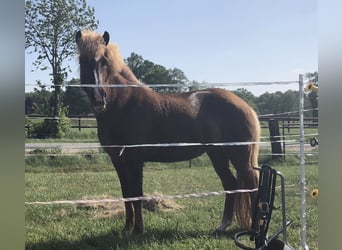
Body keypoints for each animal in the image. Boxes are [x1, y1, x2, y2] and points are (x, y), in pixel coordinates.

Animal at [76, 30, 260, 235]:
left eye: (104, 61)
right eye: (83, 61)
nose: (99, 98)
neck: (124, 105)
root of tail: (246, 106)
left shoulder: (134, 160)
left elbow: (137, 193)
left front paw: (138, 230)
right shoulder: (118, 160)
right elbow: (126, 194)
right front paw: (127, 228)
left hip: (240, 158)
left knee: (252, 186)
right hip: (217, 154)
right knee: (231, 184)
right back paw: (223, 225)